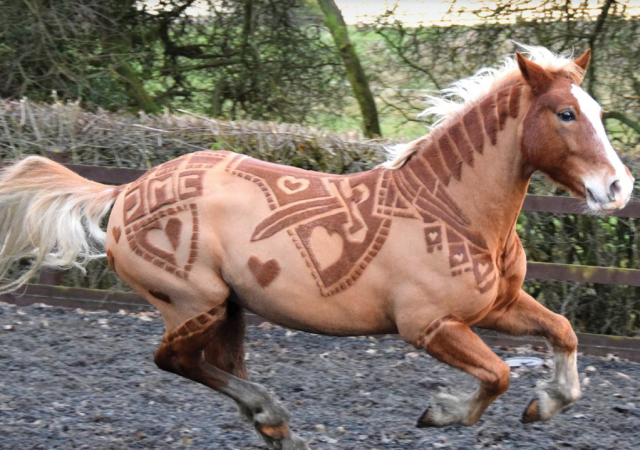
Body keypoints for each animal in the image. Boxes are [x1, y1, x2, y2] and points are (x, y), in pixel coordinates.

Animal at [0, 46, 632, 450]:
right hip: (192, 301)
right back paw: (271, 412)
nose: (618, 187)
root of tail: (127, 189)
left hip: (230, 307)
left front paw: (546, 403)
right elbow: (498, 374)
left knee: (216, 364)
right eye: (566, 113)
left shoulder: (499, 306)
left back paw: (272, 425)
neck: (455, 209)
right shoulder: (429, 325)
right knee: (174, 360)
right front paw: (440, 413)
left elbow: (564, 333)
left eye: (599, 112)